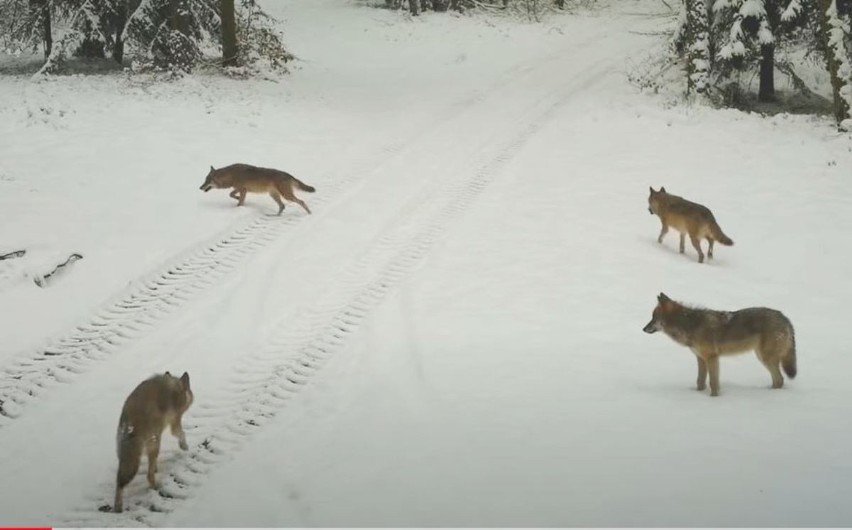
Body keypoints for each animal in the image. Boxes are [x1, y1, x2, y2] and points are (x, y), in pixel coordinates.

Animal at [112, 372, 192, 512]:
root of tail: (130, 426)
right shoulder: (175, 421)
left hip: (127, 455)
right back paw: (155, 486)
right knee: (148, 476)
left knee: (120, 482)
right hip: (155, 443)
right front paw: (184, 446)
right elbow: (181, 434)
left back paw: (118, 506)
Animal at [644, 292, 796, 396]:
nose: (643, 329)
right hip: (762, 357)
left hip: (765, 358)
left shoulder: (712, 358)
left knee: (780, 379)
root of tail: (785, 318)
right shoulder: (700, 358)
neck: (690, 325)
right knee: (778, 380)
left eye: (653, 318)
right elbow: (700, 381)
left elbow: (713, 383)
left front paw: (714, 399)